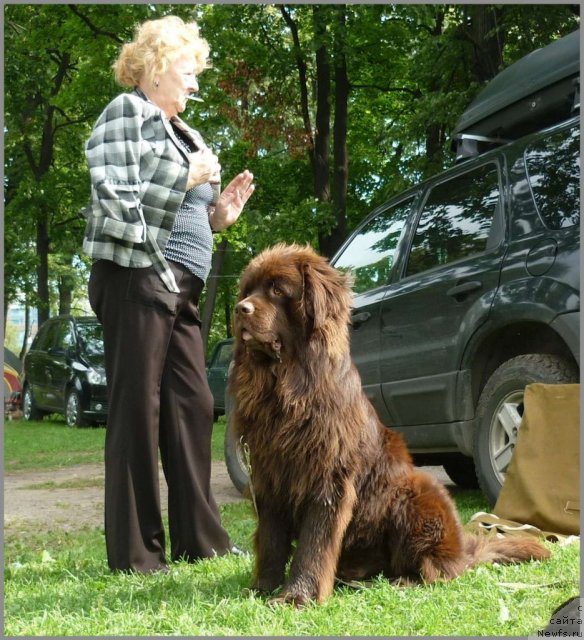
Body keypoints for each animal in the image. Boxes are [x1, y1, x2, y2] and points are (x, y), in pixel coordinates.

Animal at [227, 244, 548, 604]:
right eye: (248, 290)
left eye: (278, 290)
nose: (239, 309)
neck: (285, 387)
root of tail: (465, 550)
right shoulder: (268, 476)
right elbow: (271, 539)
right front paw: (261, 588)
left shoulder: (327, 480)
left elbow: (314, 545)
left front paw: (297, 597)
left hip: (419, 492)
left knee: (441, 568)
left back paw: (404, 580)